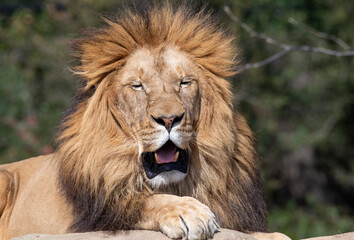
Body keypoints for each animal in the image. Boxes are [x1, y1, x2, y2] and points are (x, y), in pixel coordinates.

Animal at [0, 1, 288, 240]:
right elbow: (144, 200)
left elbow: (277, 235)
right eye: (138, 86)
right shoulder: (100, 215)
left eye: (184, 82)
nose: (169, 119)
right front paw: (188, 212)